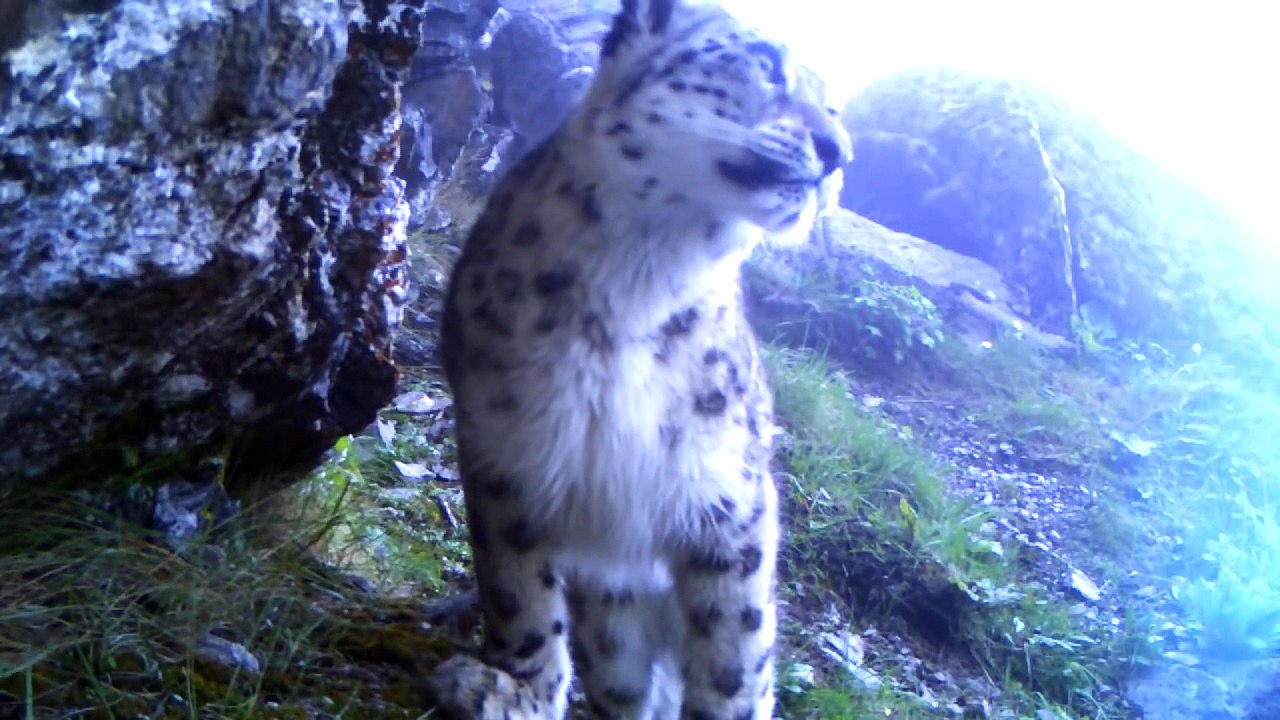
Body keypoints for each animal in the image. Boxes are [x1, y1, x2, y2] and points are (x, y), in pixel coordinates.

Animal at [426, 1, 851, 717]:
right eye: (766, 62)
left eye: (836, 105)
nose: (840, 151)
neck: (641, 280)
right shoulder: (504, 454)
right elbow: (518, 593)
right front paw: (517, 690)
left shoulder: (728, 496)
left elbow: (736, 649)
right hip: (613, 619)